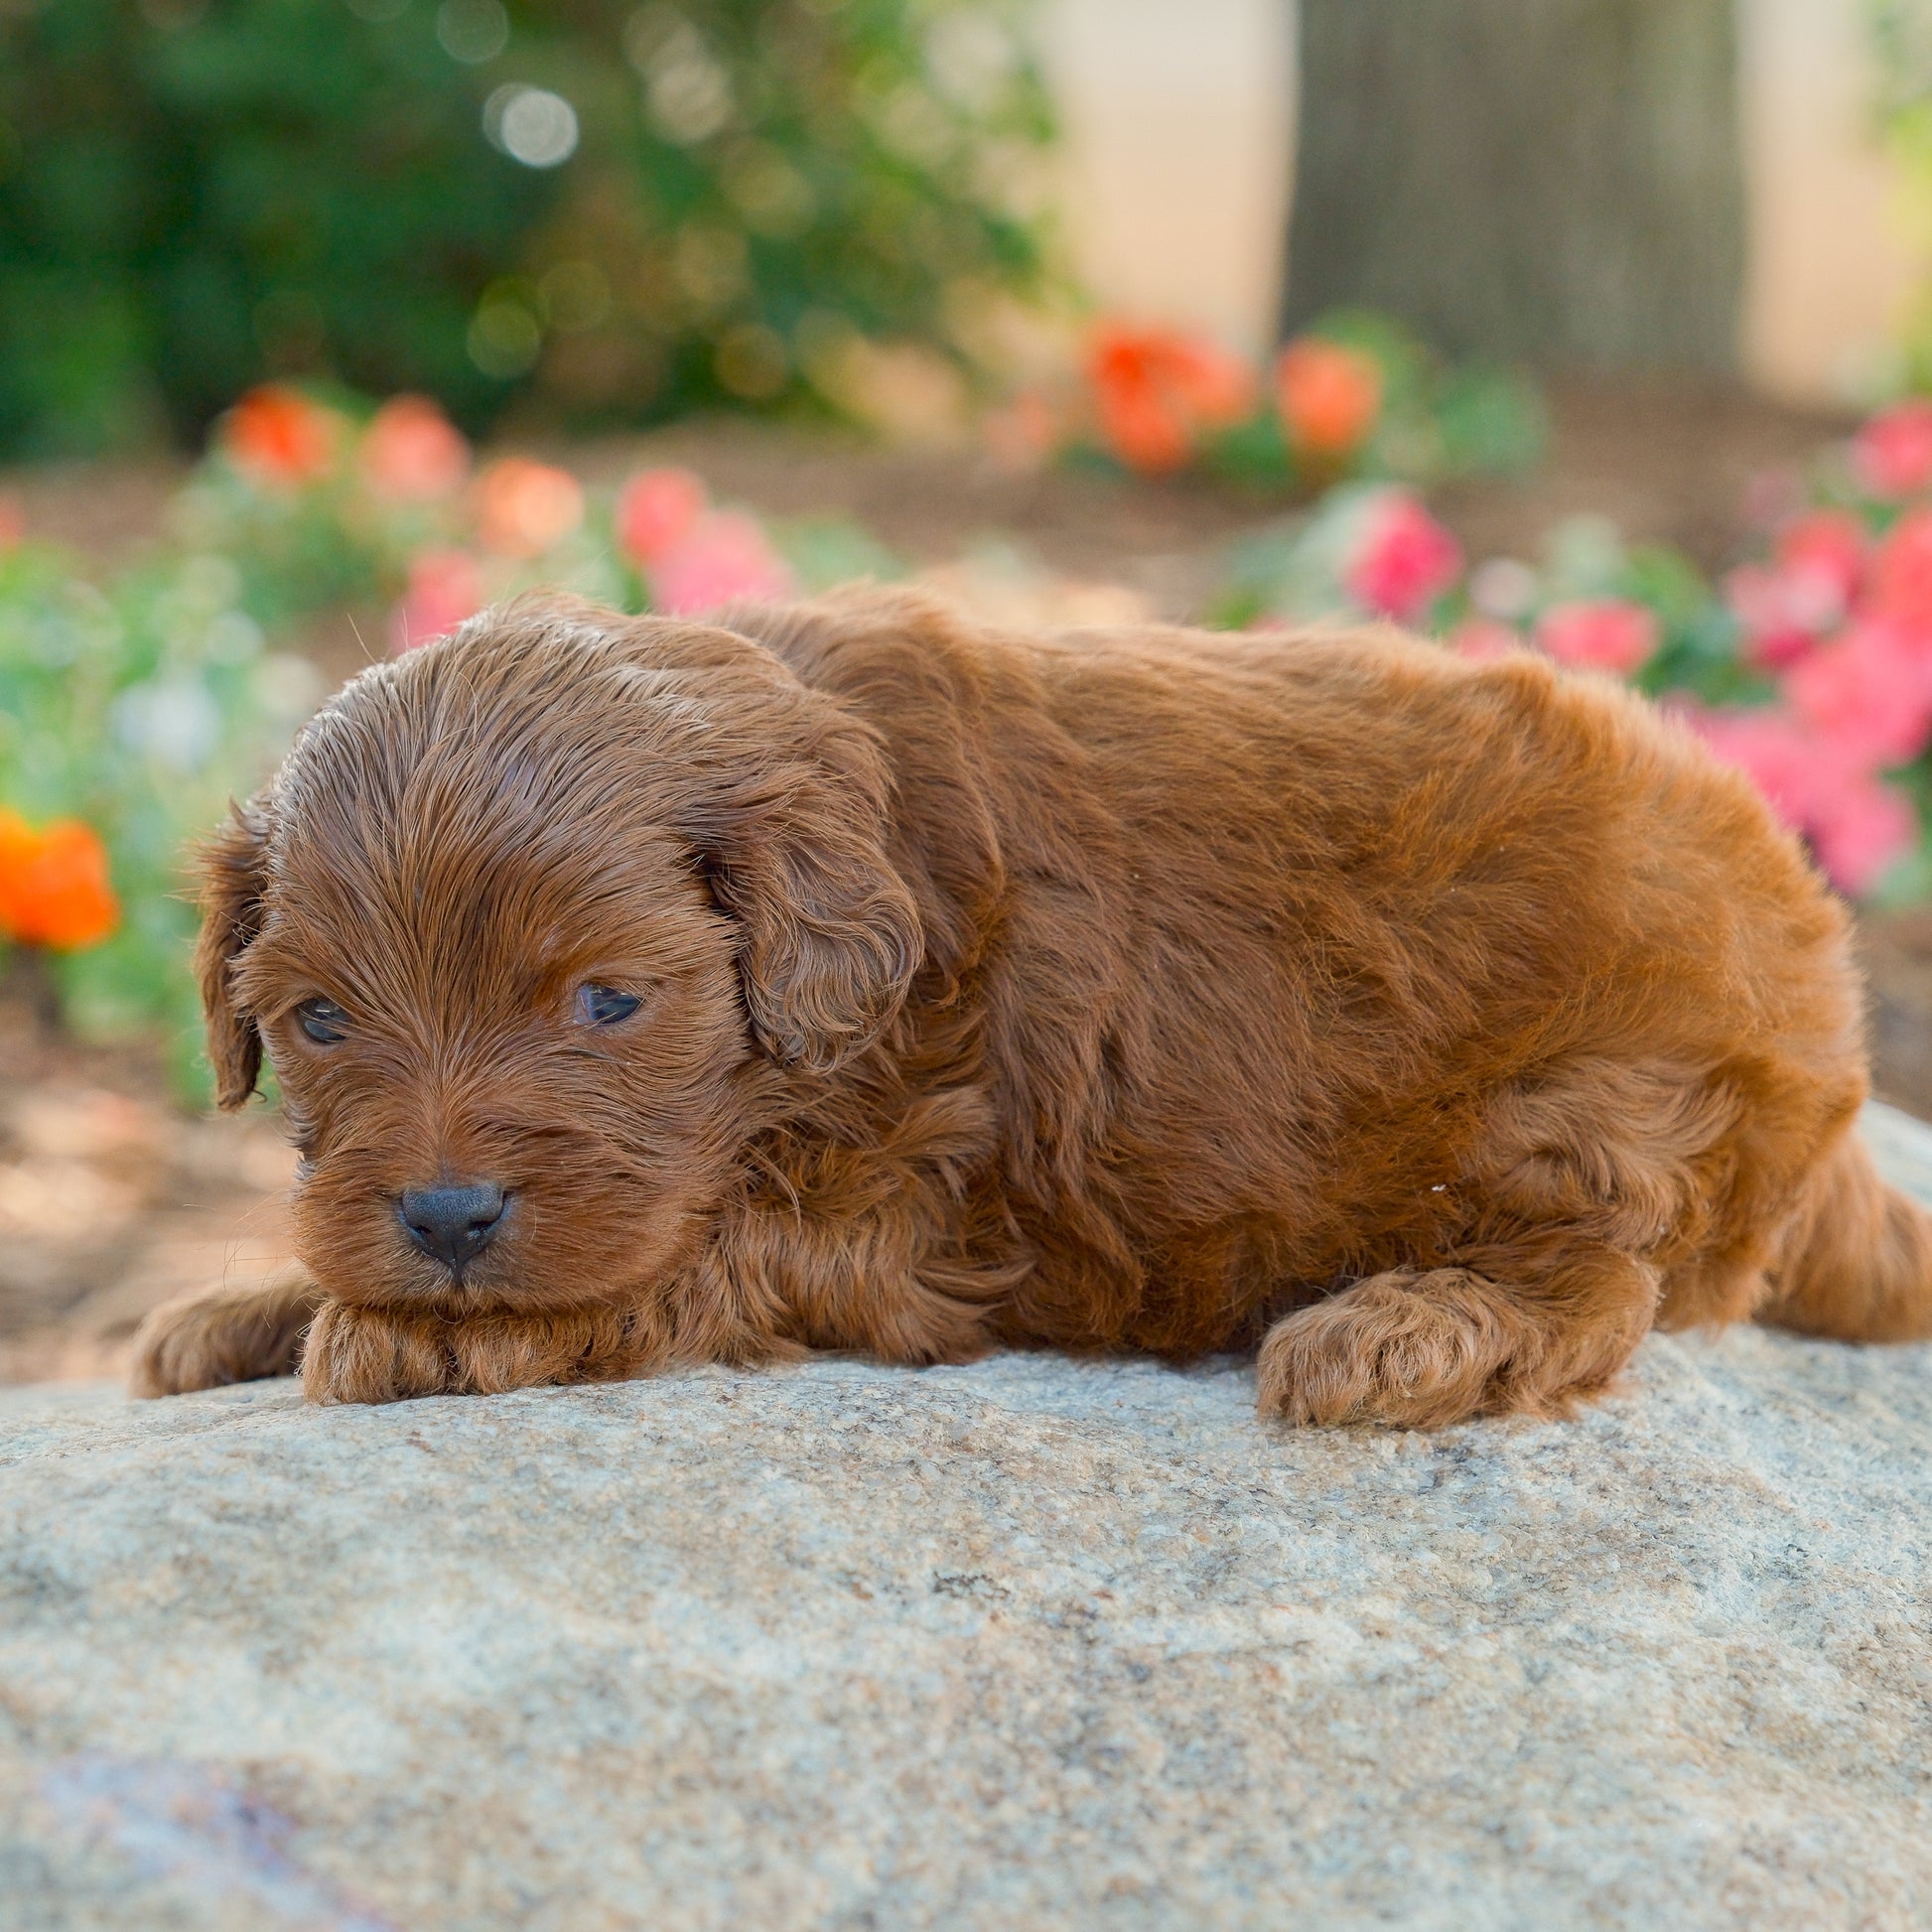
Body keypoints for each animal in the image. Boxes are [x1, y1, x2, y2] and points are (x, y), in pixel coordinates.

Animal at [132, 583, 1932, 1422]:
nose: (442, 1217)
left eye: (609, 1002)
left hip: (1598, 1096)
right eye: (319, 1023)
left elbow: (692, 1257)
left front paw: (409, 1331)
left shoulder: (907, 1207)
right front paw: (254, 1299)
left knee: (1606, 1278)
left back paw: (1401, 1329)